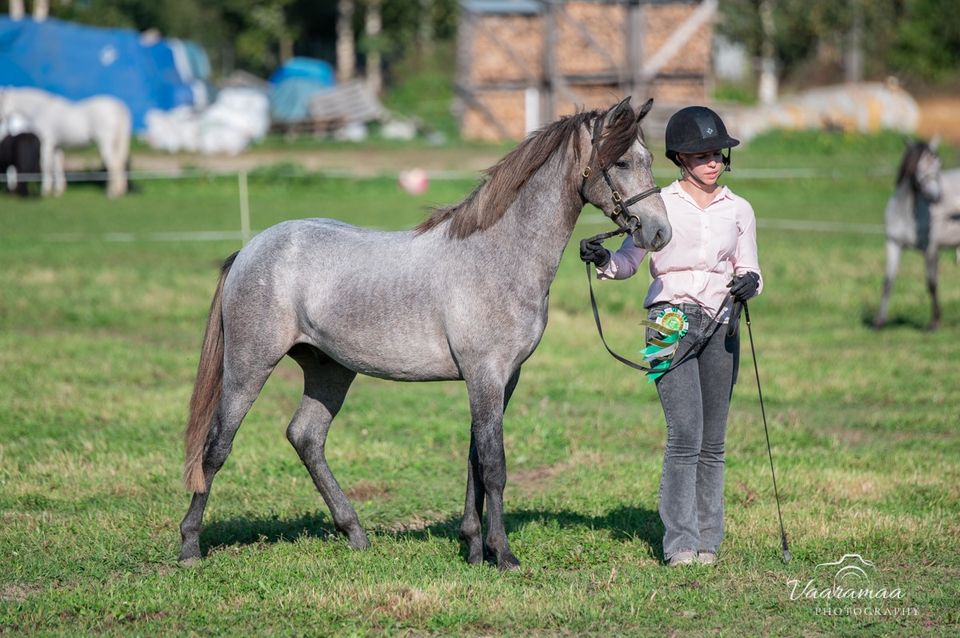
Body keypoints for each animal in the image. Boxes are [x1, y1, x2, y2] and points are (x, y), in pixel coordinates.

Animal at [0, 87, 131, 198]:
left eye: (1, 102)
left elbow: (46, 166)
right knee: (120, 163)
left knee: (114, 164)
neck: (41, 108)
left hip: (105, 144)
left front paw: (45, 191)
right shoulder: (56, 146)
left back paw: (112, 193)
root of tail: (118, 107)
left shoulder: (47, 144)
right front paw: (58, 191)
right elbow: (57, 166)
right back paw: (120, 191)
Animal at [182, 96, 676, 568]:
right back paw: (190, 547)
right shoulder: (485, 375)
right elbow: (494, 466)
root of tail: (250, 249)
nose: (659, 232)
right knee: (217, 446)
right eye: (622, 162)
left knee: (306, 436)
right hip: (249, 365)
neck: (496, 256)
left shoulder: (502, 379)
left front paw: (474, 548)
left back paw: (356, 535)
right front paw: (503, 555)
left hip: (330, 369)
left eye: (650, 157)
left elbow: (475, 459)